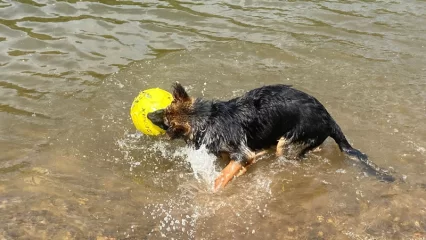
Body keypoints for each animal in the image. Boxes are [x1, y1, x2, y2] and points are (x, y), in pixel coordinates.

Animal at [148, 82, 394, 191]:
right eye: (165, 110)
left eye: (165, 120)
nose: (149, 114)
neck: (209, 118)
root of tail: (328, 118)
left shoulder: (241, 152)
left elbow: (227, 172)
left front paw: (216, 187)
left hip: (286, 143)